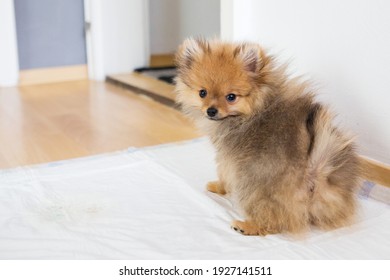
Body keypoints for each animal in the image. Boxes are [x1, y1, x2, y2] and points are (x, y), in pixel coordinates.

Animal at [175, 38, 362, 235]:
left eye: (231, 97)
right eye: (202, 93)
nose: (211, 110)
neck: (256, 109)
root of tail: (312, 171)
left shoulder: (228, 158)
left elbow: (225, 173)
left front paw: (219, 186)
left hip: (253, 186)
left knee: (273, 220)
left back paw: (247, 226)